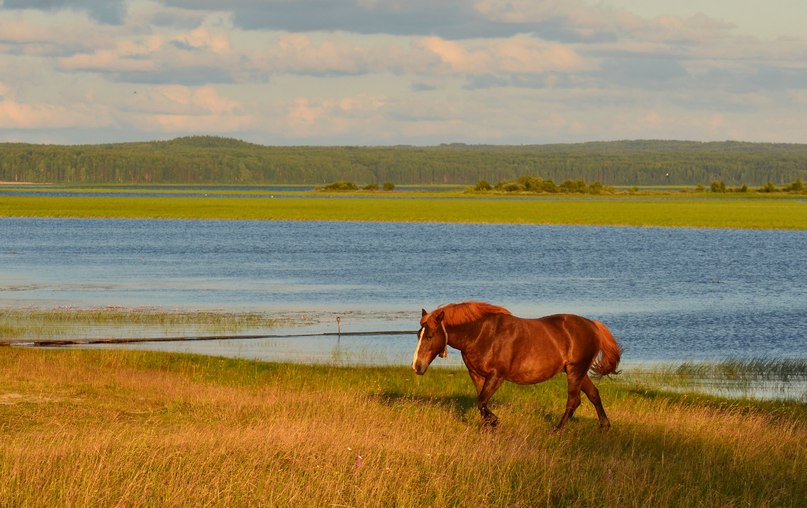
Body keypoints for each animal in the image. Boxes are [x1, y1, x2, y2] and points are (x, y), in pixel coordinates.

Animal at [414, 304, 620, 430]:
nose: (417, 366)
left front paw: (495, 422)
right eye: (418, 334)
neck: (481, 333)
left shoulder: (496, 376)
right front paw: (489, 425)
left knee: (573, 401)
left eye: (430, 335)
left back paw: (557, 429)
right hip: (578, 371)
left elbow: (481, 402)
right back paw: (604, 425)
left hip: (575, 371)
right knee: (593, 395)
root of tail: (593, 325)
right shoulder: (477, 375)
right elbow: (481, 402)